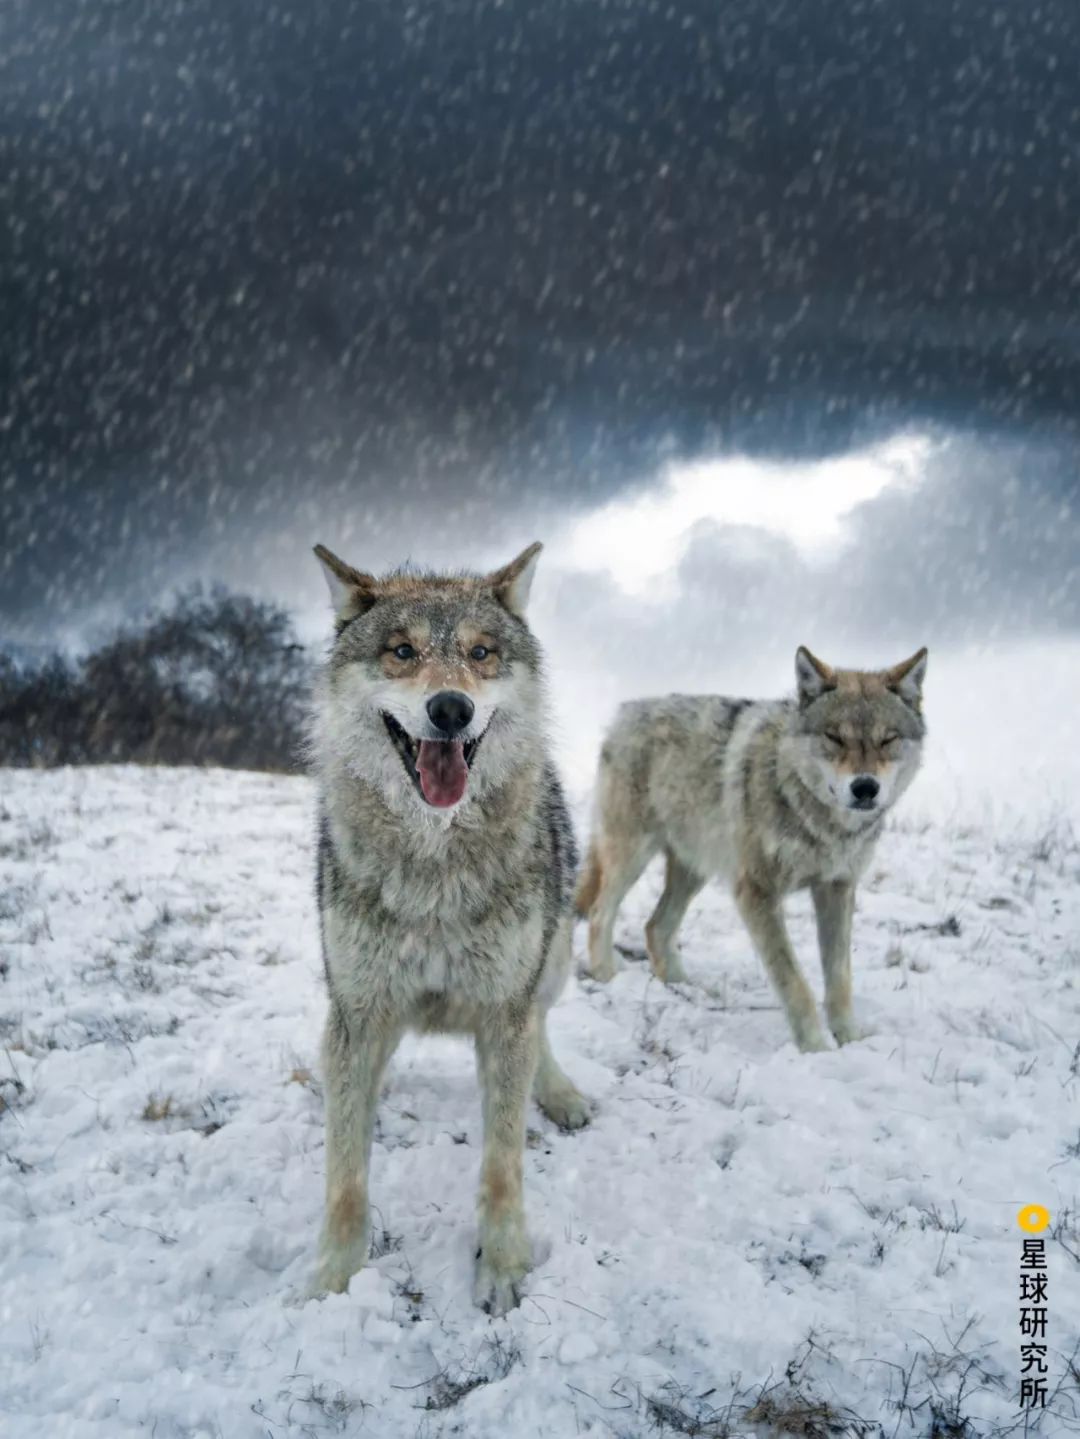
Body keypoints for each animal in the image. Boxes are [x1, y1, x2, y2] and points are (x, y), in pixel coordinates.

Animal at [304, 541, 592, 1318]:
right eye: (402, 651)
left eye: (481, 653)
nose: (450, 707)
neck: (434, 869)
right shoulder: (357, 1012)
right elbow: (345, 1176)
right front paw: (335, 1281)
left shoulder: (504, 1009)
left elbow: (501, 1164)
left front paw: (502, 1269)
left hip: (552, 962)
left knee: (543, 1030)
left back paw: (560, 1094)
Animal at [575, 647, 931, 1053]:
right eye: (834, 737)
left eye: (888, 739)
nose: (865, 787)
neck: (821, 823)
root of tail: (625, 711)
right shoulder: (756, 892)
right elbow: (794, 981)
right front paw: (815, 1048)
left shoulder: (837, 888)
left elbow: (839, 978)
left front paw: (849, 1039)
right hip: (633, 856)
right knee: (601, 912)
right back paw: (607, 975)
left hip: (695, 868)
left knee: (655, 927)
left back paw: (688, 990)